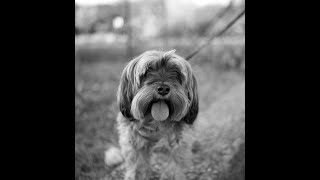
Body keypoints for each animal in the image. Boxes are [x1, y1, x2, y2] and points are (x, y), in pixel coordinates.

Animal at [115, 49, 200, 180]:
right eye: (147, 71)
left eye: (176, 72)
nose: (163, 89)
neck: (155, 122)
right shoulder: (133, 143)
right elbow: (138, 166)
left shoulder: (178, 145)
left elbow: (173, 168)